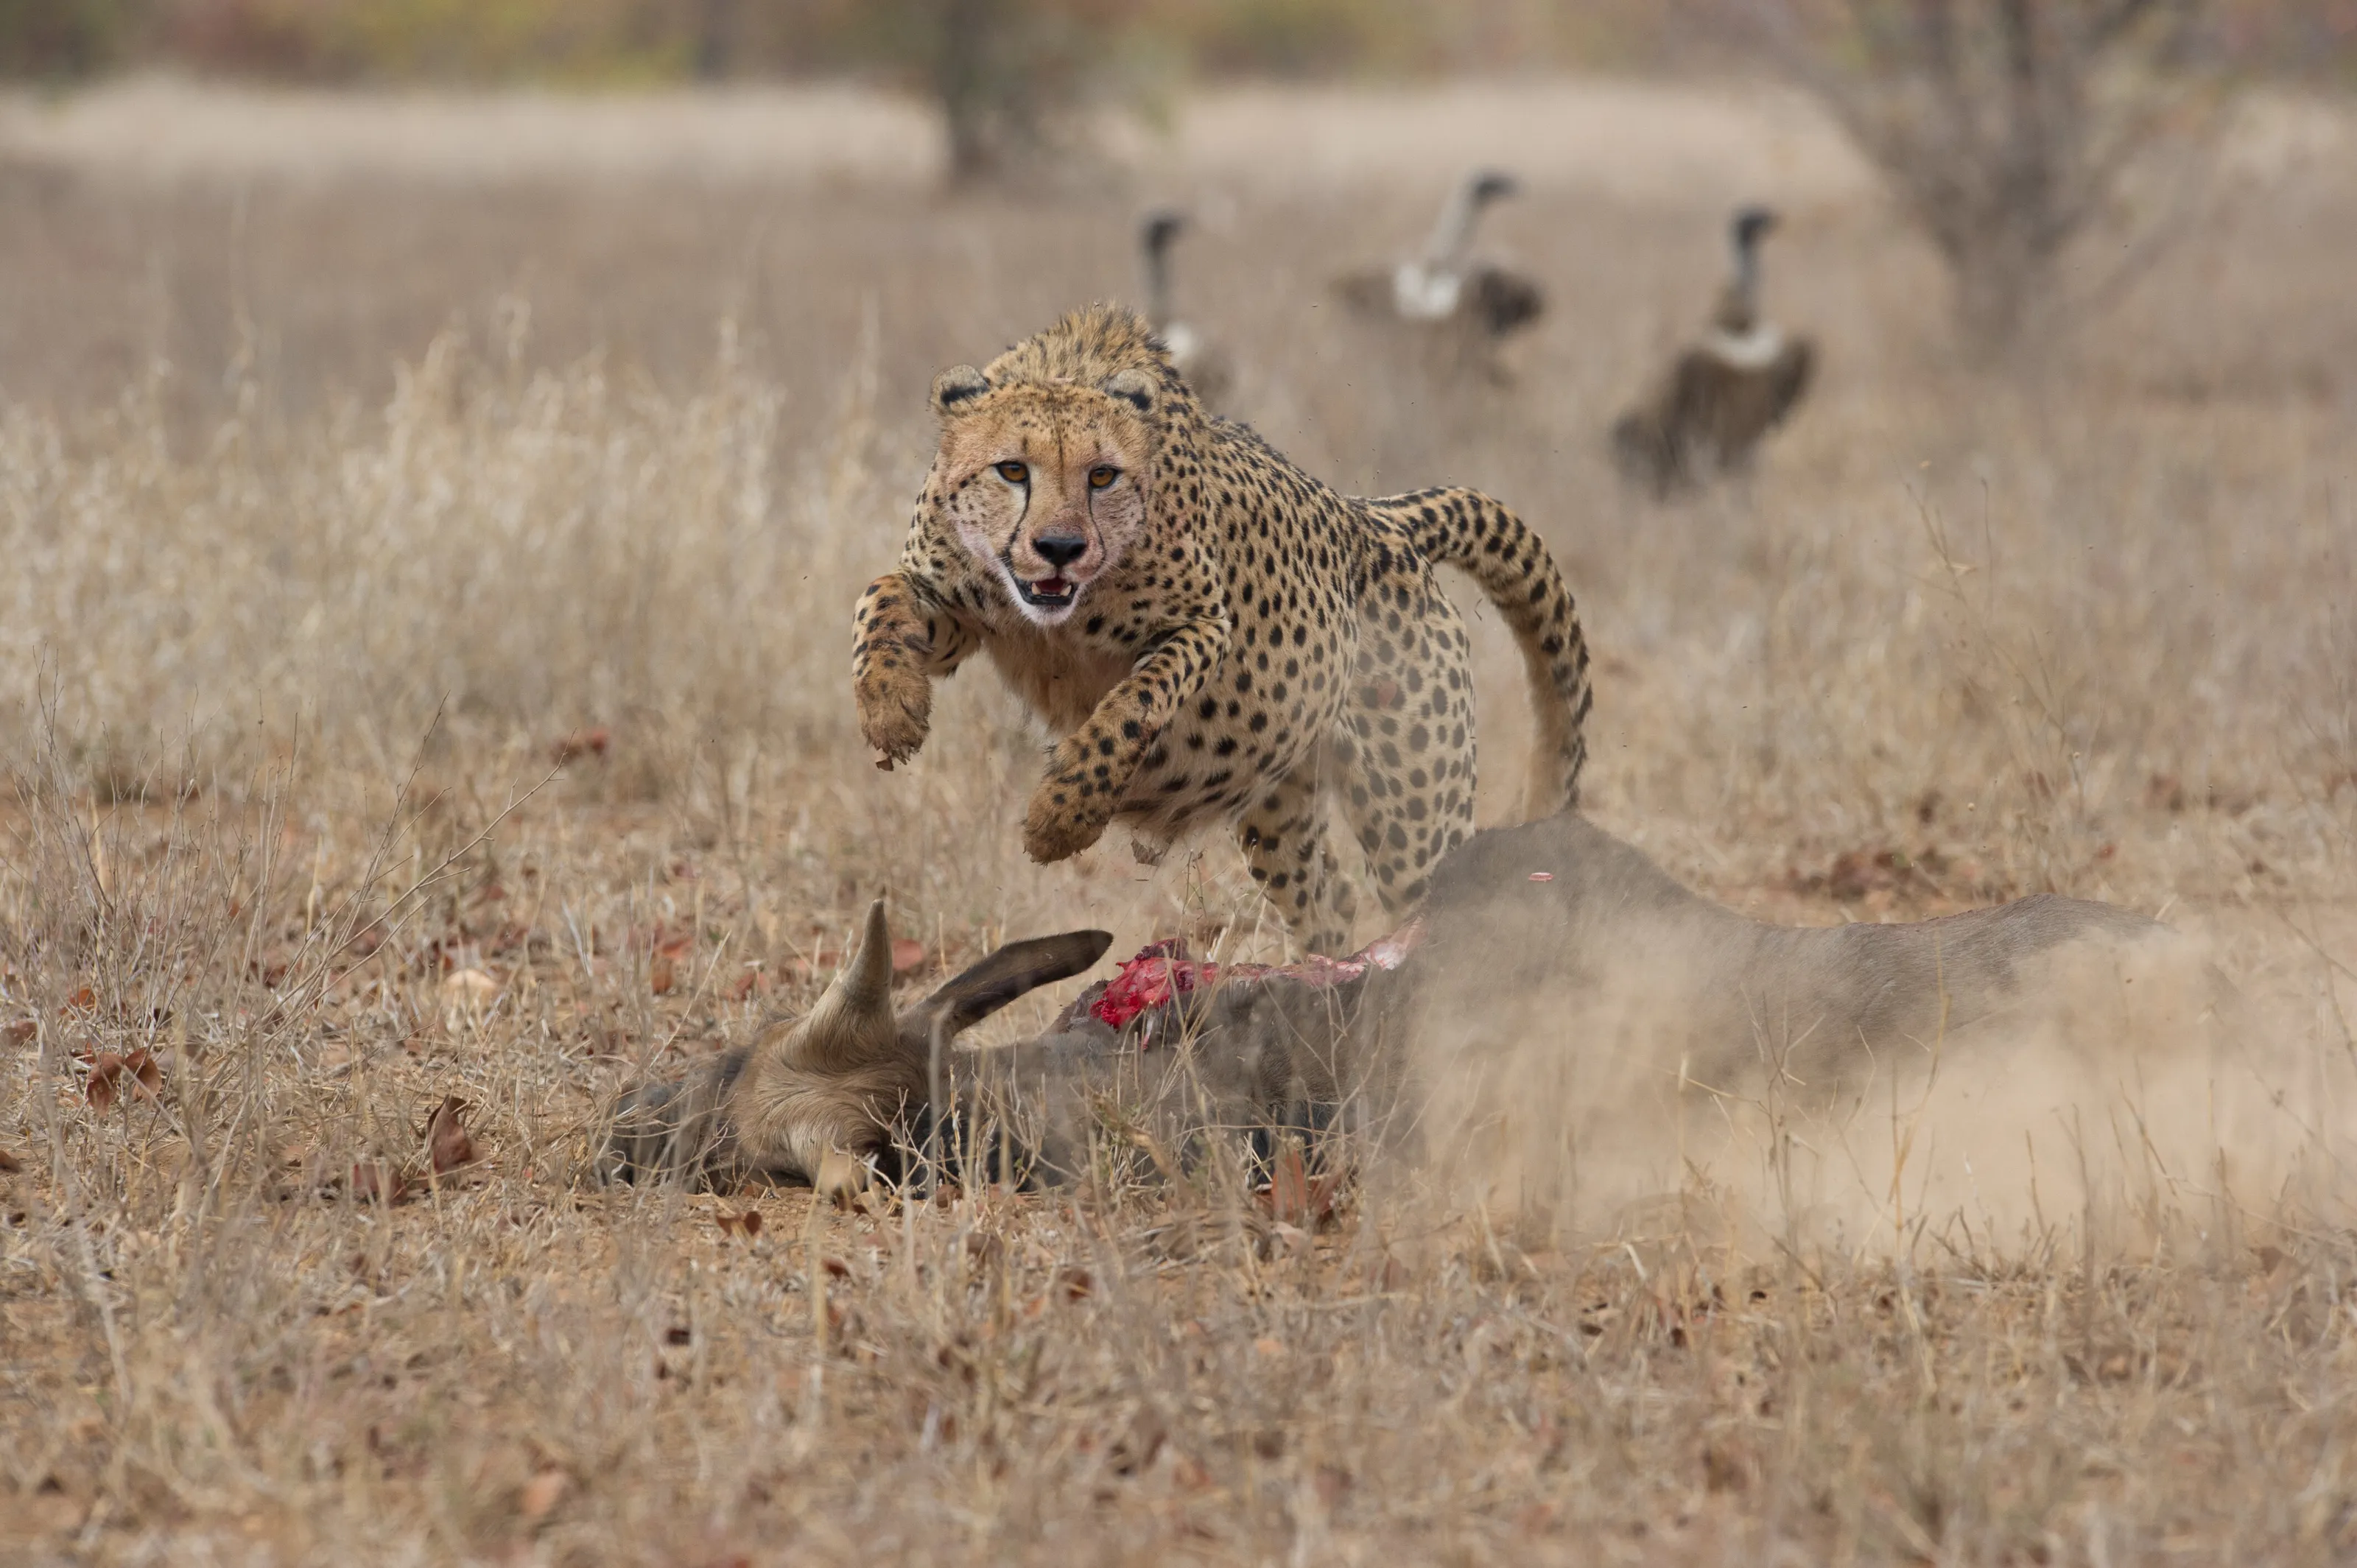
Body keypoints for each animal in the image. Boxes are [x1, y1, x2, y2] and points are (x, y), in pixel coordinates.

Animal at [851, 303, 1592, 954]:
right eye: (1012, 469)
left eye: (1102, 475)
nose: (1060, 547)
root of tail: (1377, 518)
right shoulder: (954, 608)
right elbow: (878, 599)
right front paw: (891, 708)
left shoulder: (1203, 626)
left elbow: (1130, 705)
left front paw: (1061, 815)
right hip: (1280, 807)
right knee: (1330, 898)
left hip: (1412, 819)